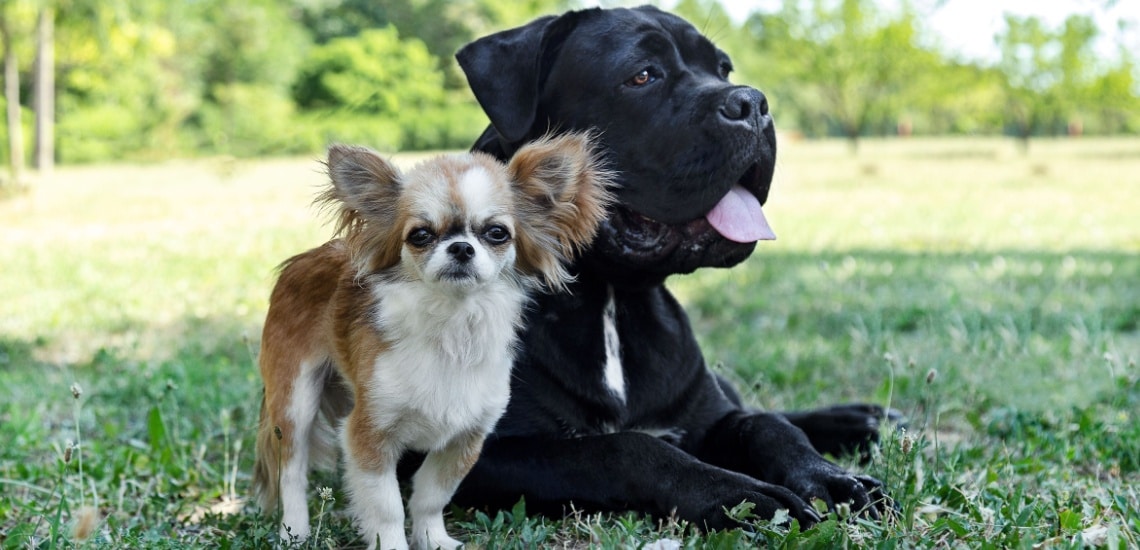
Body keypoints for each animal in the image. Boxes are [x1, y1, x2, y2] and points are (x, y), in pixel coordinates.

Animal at [254, 134, 615, 550]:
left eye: (497, 233)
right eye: (420, 235)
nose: (461, 247)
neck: (453, 325)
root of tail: (300, 260)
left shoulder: (465, 438)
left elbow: (430, 495)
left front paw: (433, 539)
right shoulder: (368, 432)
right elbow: (387, 508)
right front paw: (392, 545)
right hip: (295, 400)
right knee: (292, 472)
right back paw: (294, 531)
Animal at [446, 4, 889, 529]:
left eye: (723, 69)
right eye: (642, 75)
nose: (753, 103)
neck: (612, 300)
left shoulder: (709, 416)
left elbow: (768, 425)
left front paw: (828, 477)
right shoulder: (476, 451)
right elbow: (624, 447)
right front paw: (740, 494)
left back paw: (862, 419)